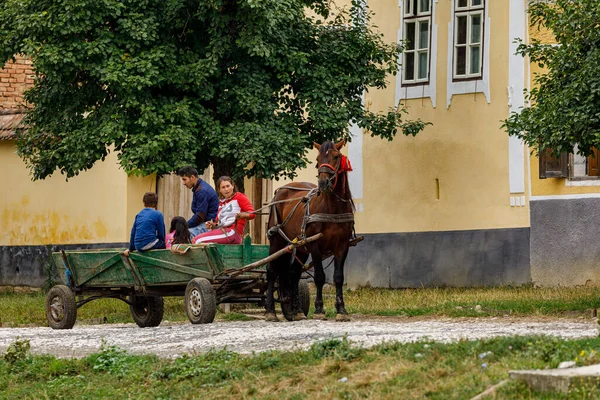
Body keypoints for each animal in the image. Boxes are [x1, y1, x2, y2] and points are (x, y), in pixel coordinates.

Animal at [264, 140, 354, 322]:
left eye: (336, 157)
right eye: (318, 159)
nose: (324, 183)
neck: (332, 209)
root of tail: (281, 190)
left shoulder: (342, 246)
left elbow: (338, 277)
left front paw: (341, 310)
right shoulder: (315, 245)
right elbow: (319, 276)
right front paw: (319, 309)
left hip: (300, 247)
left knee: (293, 274)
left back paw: (296, 310)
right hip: (277, 240)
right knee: (271, 271)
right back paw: (271, 311)